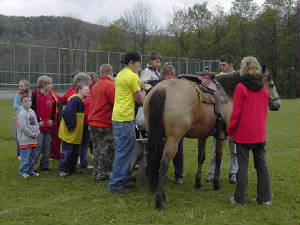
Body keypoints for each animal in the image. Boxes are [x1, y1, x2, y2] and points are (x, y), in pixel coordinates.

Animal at [144, 67, 280, 211]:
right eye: (271, 85)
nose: (278, 104)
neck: (228, 93)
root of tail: (161, 90)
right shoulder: (222, 136)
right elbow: (219, 159)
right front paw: (216, 184)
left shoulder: (202, 135)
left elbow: (201, 158)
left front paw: (198, 183)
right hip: (173, 139)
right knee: (164, 163)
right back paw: (159, 202)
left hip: (156, 136)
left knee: (156, 160)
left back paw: (161, 195)